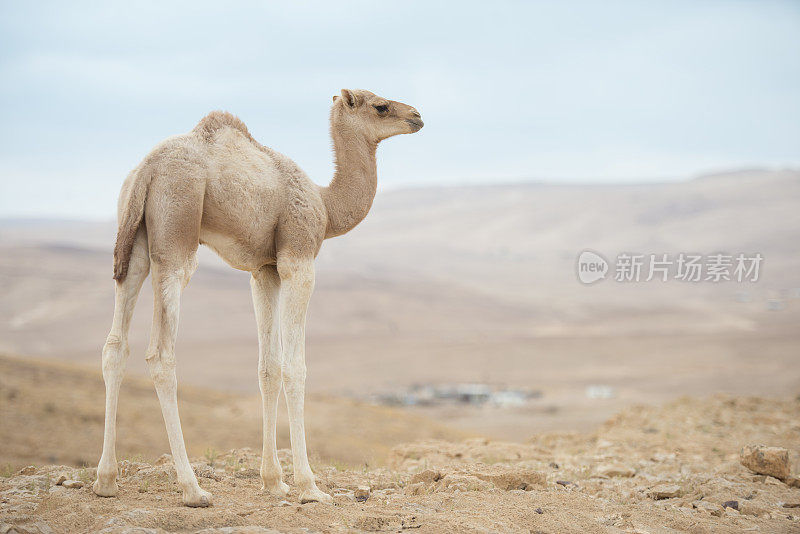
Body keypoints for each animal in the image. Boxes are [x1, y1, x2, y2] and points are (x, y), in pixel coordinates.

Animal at [90, 90, 422, 508]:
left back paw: (106, 480)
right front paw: (309, 487)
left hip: (134, 242)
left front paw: (274, 481)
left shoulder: (265, 270)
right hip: (176, 233)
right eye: (380, 106)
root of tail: (146, 169)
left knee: (115, 346)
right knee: (161, 354)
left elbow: (268, 368)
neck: (326, 205)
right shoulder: (298, 259)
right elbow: (295, 368)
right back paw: (193, 489)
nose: (417, 116)